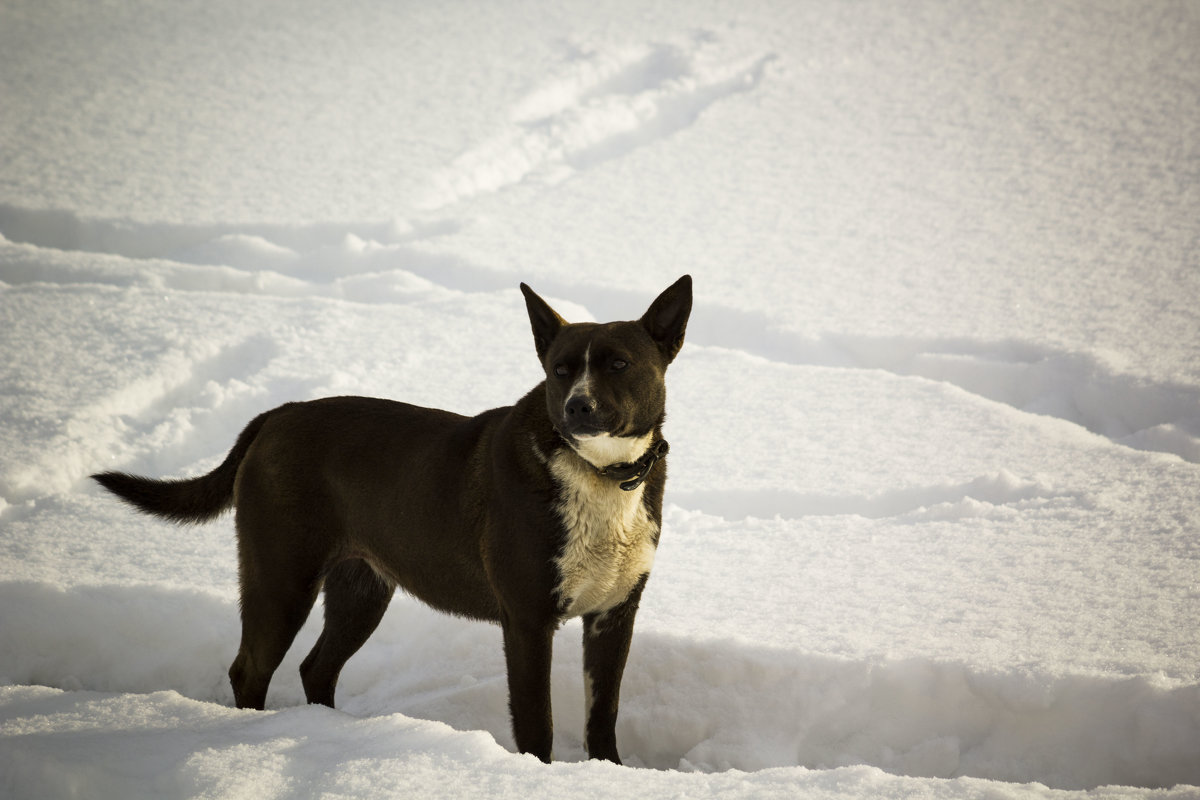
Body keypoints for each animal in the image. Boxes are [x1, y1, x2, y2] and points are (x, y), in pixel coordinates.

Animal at [91, 277, 696, 762]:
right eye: (560, 370)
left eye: (618, 364)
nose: (576, 406)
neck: (602, 475)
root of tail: (277, 415)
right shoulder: (527, 619)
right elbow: (535, 722)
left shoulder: (615, 614)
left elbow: (603, 715)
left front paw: (610, 773)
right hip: (281, 575)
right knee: (251, 669)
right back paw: (258, 736)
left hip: (361, 587)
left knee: (316, 668)